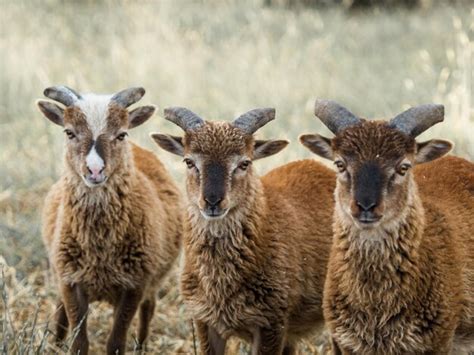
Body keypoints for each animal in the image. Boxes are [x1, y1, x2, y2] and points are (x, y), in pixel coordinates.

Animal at [35, 86, 181, 355]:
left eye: (121, 134)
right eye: (69, 132)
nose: (94, 170)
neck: (99, 249)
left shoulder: (135, 284)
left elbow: (115, 341)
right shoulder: (71, 280)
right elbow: (79, 340)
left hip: (154, 277)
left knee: (149, 309)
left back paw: (142, 347)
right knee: (59, 309)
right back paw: (56, 343)